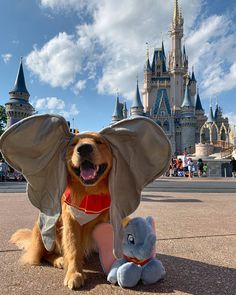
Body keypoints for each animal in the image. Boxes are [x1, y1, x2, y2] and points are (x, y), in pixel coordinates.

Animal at [10, 133, 113, 290]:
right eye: (74, 144)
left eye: (99, 141)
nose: (84, 148)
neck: (89, 193)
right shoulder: (71, 220)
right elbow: (73, 248)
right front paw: (74, 274)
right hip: (43, 229)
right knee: (44, 254)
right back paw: (59, 260)